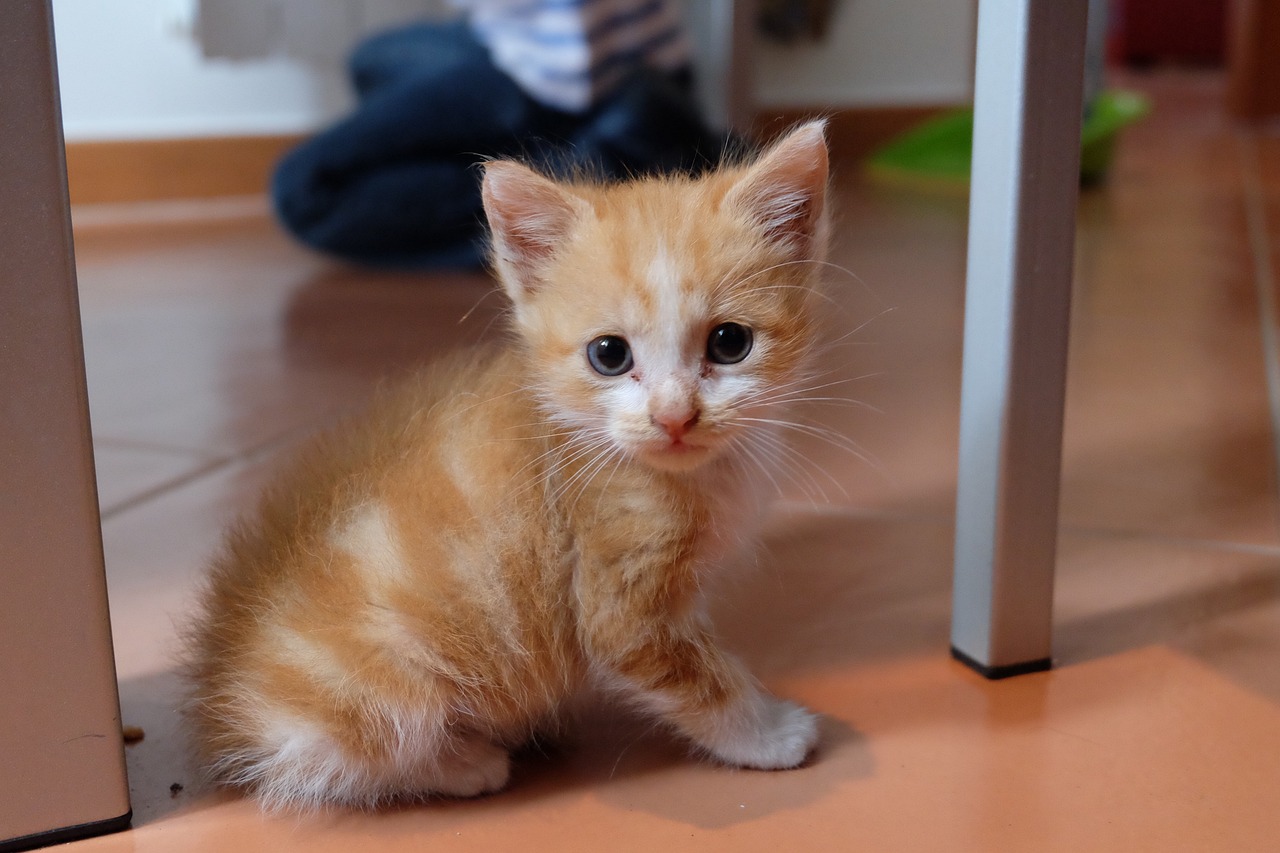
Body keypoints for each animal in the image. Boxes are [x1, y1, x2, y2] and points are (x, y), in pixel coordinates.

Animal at [186, 119, 829, 804]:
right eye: (609, 354)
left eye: (730, 343)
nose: (674, 417)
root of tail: (226, 707)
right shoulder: (619, 596)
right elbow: (694, 674)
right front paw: (768, 734)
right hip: (381, 678)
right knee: (344, 753)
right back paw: (467, 762)